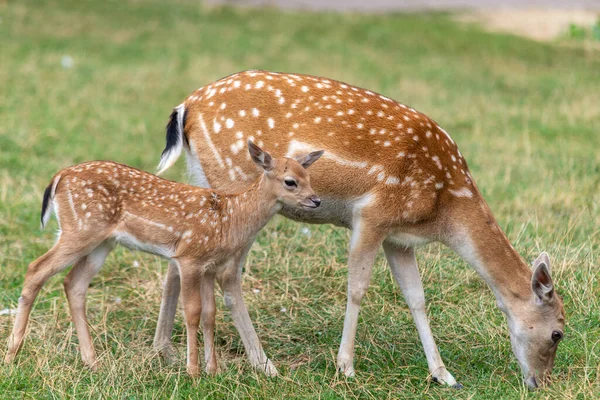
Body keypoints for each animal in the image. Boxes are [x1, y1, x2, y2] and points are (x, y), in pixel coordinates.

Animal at [3, 142, 324, 376]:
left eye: (310, 177)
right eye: (291, 181)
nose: (316, 200)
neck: (231, 218)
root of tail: (59, 177)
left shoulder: (209, 266)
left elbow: (210, 314)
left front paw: (214, 371)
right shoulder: (189, 257)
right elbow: (192, 312)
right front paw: (193, 371)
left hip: (101, 242)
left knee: (74, 283)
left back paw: (92, 361)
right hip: (80, 229)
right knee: (36, 269)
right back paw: (11, 355)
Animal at [154, 69, 564, 388]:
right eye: (558, 332)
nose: (539, 382)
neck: (443, 208)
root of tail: (185, 108)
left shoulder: (399, 238)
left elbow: (416, 297)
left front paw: (443, 375)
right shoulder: (372, 215)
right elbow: (357, 288)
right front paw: (345, 367)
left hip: (204, 180)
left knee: (181, 254)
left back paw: (166, 351)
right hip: (236, 186)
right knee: (229, 274)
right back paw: (263, 363)